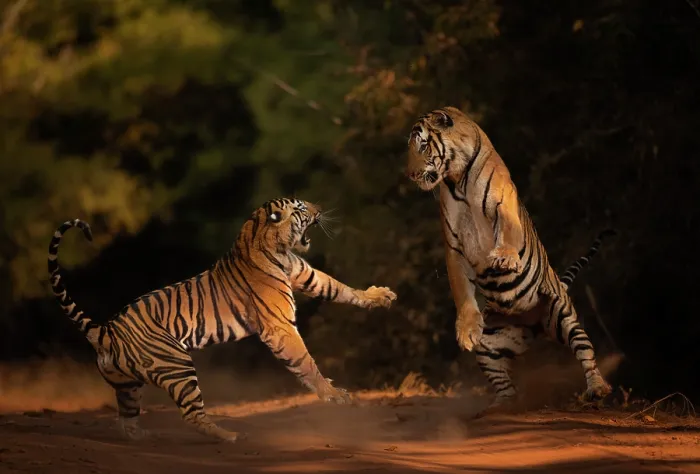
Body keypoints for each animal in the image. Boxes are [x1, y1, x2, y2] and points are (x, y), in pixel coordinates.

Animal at [48, 198, 397, 442]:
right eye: (301, 208)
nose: (320, 208)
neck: (278, 247)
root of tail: (105, 331)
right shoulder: (280, 326)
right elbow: (305, 362)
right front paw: (334, 395)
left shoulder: (307, 275)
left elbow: (340, 288)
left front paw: (380, 296)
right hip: (178, 366)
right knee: (191, 415)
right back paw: (230, 436)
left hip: (128, 386)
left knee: (126, 421)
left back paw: (147, 437)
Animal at [406, 106, 613, 410]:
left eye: (422, 145)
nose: (410, 174)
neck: (458, 180)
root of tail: (534, 326)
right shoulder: (453, 246)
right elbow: (461, 291)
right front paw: (466, 330)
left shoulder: (504, 206)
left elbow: (507, 232)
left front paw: (504, 258)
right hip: (489, 348)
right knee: (505, 384)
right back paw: (501, 406)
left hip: (563, 316)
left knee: (585, 351)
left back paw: (597, 388)